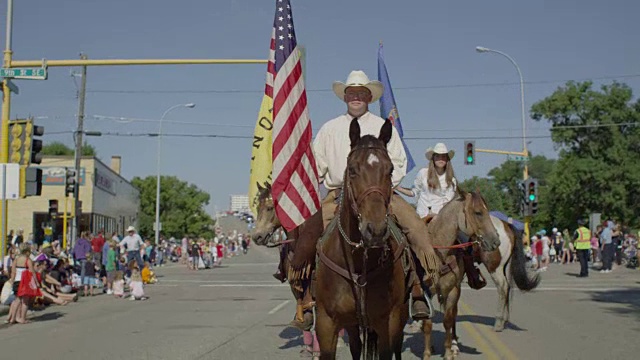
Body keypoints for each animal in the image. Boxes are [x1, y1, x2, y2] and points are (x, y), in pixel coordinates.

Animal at [316, 119, 410, 360]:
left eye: (390, 169)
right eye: (353, 170)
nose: (374, 230)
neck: (359, 264)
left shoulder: (388, 321)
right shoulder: (326, 322)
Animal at [422, 190, 502, 358]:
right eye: (478, 212)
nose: (495, 242)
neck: (439, 253)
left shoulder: (453, 290)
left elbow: (448, 319)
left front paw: (448, 351)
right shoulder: (425, 291)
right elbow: (427, 323)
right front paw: (427, 353)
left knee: (453, 314)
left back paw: (454, 345)